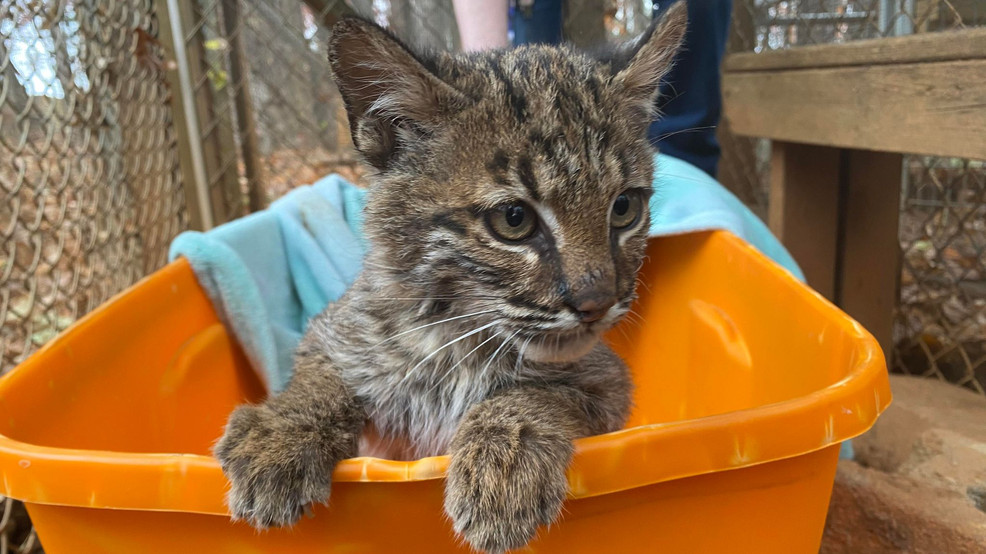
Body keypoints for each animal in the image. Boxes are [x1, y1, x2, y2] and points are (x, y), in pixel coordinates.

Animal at [215, 5, 684, 552]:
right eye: (513, 220)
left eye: (625, 208)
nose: (597, 302)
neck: (456, 330)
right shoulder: (331, 331)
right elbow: (320, 377)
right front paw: (277, 436)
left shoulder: (608, 383)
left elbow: (532, 392)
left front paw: (502, 467)